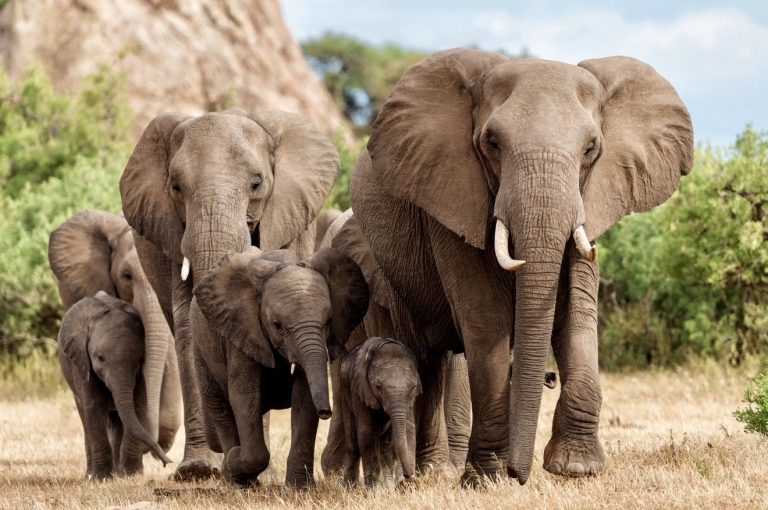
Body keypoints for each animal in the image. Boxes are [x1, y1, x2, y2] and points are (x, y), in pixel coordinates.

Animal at [57, 292, 172, 479]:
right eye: (100, 358)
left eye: (139, 360)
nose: (167, 462)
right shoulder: (81, 362)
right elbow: (94, 407)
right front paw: (101, 479)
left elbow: (138, 405)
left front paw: (131, 475)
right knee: (86, 419)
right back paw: (91, 475)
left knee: (117, 421)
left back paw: (118, 473)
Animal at [192, 246, 369, 487]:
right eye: (277, 325)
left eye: (328, 322)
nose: (326, 412)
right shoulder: (242, 329)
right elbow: (244, 395)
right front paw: (235, 458)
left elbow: (304, 396)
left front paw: (300, 488)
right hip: (201, 349)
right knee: (221, 408)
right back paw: (234, 477)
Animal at [339, 337, 421, 487]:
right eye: (377, 386)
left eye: (413, 387)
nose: (409, 476)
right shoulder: (360, 390)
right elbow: (366, 433)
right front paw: (374, 490)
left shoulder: (409, 400)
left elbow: (409, 427)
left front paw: (404, 486)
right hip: (344, 391)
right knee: (353, 442)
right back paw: (349, 488)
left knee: (385, 443)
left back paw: (388, 486)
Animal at [350, 49, 694, 484]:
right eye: (492, 143)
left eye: (591, 149)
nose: (521, 473)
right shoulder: (451, 195)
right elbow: (486, 318)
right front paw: (487, 479)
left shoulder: (590, 202)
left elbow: (577, 314)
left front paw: (576, 468)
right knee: (425, 358)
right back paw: (428, 475)